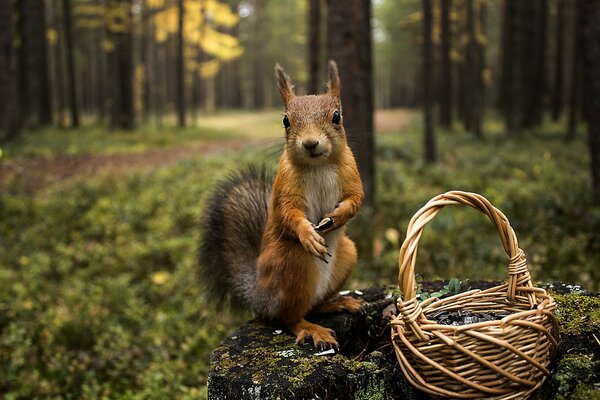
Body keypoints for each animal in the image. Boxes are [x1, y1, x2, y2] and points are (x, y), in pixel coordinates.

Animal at [199, 60, 364, 350]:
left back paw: (338, 303)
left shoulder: (351, 174)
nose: (310, 143)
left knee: (313, 306)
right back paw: (312, 329)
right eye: (286, 120)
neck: (318, 165)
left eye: (337, 116)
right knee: (289, 317)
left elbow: (356, 199)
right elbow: (288, 213)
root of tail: (260, 297)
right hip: (291, 263)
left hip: (347, 254)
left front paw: (339, 216)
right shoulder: (285, 186)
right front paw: (308, 235)